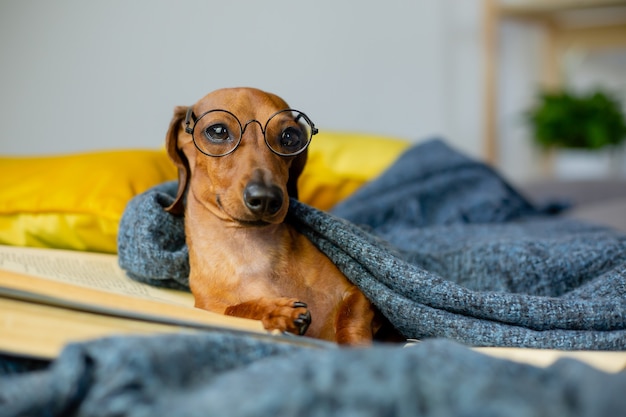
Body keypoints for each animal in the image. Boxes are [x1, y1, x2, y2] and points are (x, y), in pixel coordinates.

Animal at [162, 87, 376, 344]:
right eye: (217, 131)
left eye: (290, 136)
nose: (265, 198)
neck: (252, 254)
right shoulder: (209, 307)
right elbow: (235, 309)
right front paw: (275, 311)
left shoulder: (358, 294)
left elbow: (350, 318)